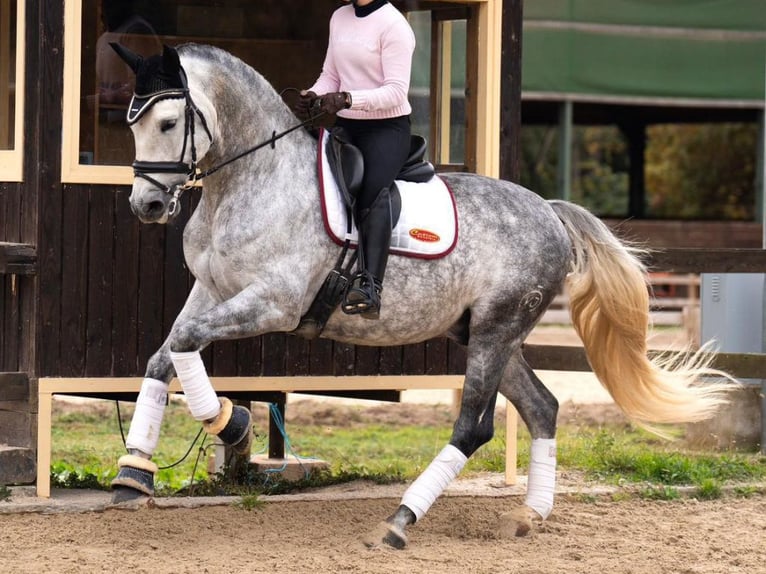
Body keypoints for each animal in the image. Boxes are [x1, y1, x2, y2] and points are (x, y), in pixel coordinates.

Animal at [108, 42, 731, 549]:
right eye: (132, 125)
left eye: (169, 121)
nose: (147, 206)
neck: (249, 181)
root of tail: (550, 213)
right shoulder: (211, 288)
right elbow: (165, 353)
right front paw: (133, 472)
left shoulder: (274, 303)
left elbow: (186, 343)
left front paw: (233, 425)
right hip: (487, 333)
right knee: (541, 408)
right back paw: (529, 516)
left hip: (497, 329)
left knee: (474, 426)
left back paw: (400, 522)